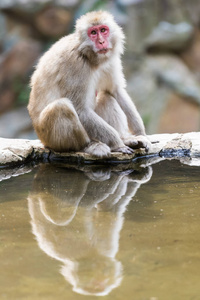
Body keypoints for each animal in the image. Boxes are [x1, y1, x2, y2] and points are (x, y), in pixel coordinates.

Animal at [27, 10, 150, 156]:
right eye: (93, 33)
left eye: (103, 30)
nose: (101, 41)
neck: (88, 55)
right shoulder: (75, 65)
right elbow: (81, 110)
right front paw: (118, 144)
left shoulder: (109, 61)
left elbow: (116, 91)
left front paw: (141, 135)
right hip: (50, 137)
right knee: (61, 107)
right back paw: (87, 146)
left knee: (106, 96)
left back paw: (124, 139)